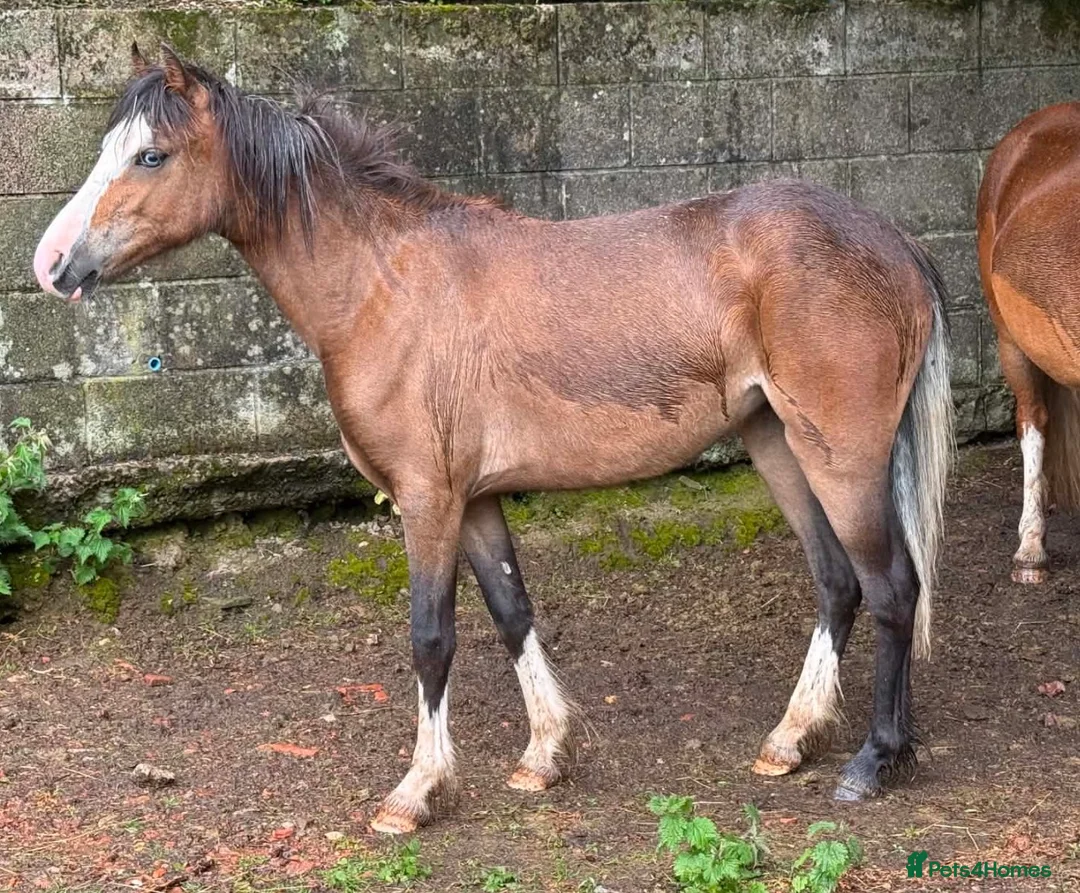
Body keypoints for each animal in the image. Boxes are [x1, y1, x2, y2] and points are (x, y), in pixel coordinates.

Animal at [34, 45, 953, 833]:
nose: (51, 264)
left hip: (841, 460)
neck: (382, 286)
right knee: (836, 583)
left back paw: (874, 760)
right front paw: (544, 755)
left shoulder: (427, 500)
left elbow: (431, 639)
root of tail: (894, 242)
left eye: (151, 156)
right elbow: (513, 613)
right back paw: (791, 738)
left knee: (892, 588)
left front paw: (416, 788)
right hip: (778, 445)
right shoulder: (473, 500)